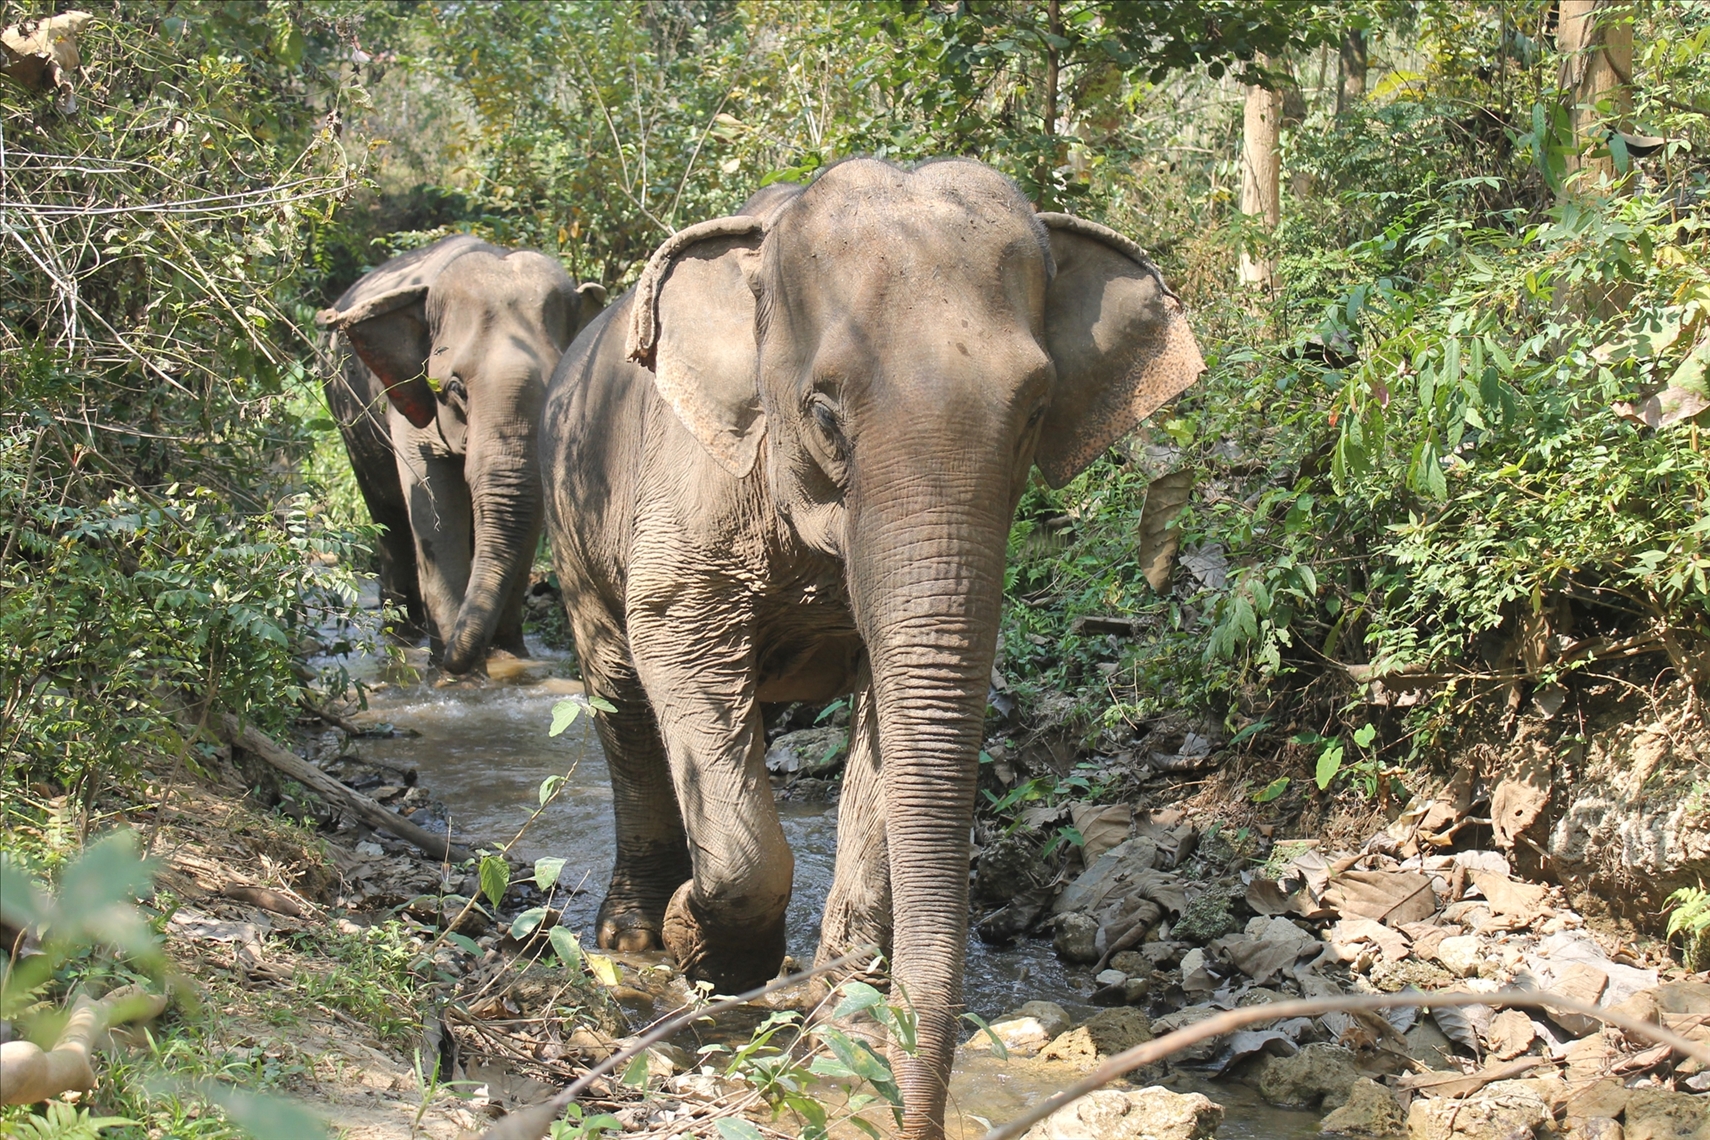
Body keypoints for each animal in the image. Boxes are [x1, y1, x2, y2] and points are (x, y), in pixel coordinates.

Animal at [318, 236, 606, 673]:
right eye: (456, 388)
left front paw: (506, 658)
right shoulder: (410, 398)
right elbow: (434, 505)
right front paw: (452, 673)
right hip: (346, 416)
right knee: (387, 512)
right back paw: (402, 634)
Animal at [540, 157, 1203, 1138]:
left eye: (1038, 409)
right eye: (824, 412)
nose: (911, 1114)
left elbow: (889, 722)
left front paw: (837, 1031)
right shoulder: (687, 507)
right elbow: (680, 651)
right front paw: (708, 952)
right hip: (575, 519)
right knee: (618, 694)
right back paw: (632, 934)